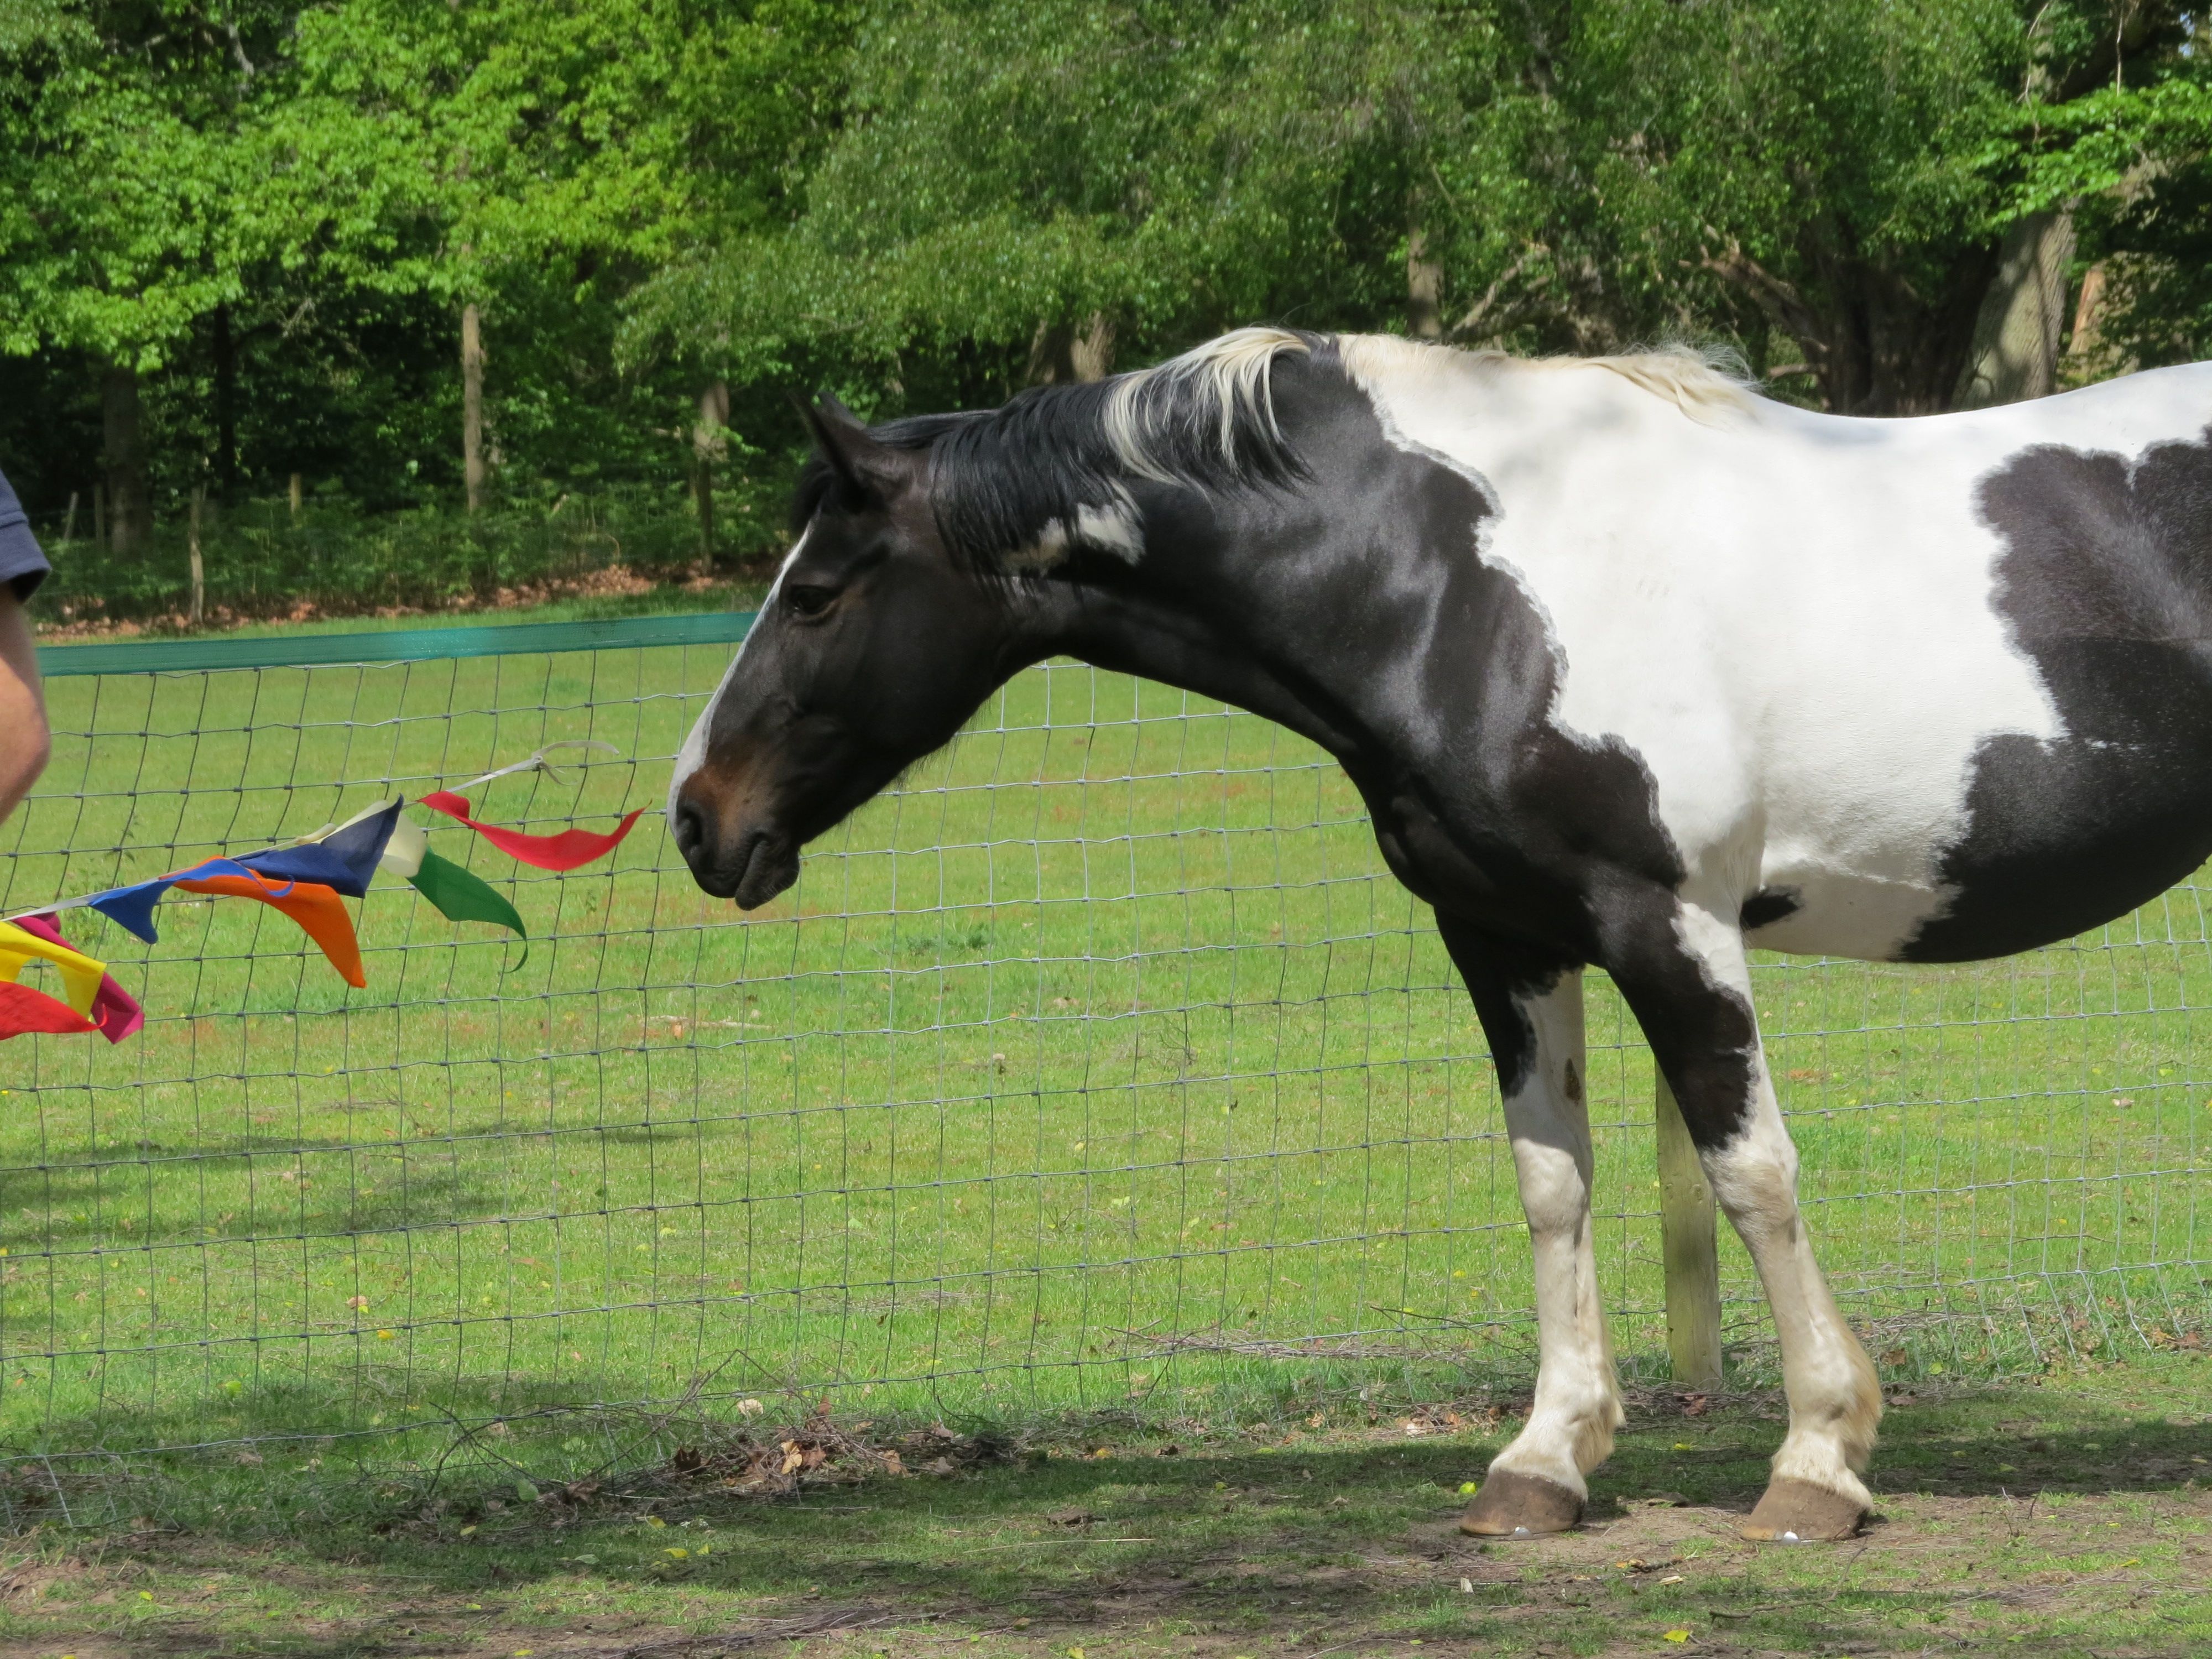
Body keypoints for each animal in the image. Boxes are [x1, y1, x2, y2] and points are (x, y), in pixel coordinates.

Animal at [667, 326, 2212, 1542]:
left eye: (815, 593)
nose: (695, 817)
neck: (1460, 576)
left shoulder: (1668, 924)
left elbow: (1750, 1174)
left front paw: (1817, 1461)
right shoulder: (1500, 934)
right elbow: (1551, 1182)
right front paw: (1545, 1462)